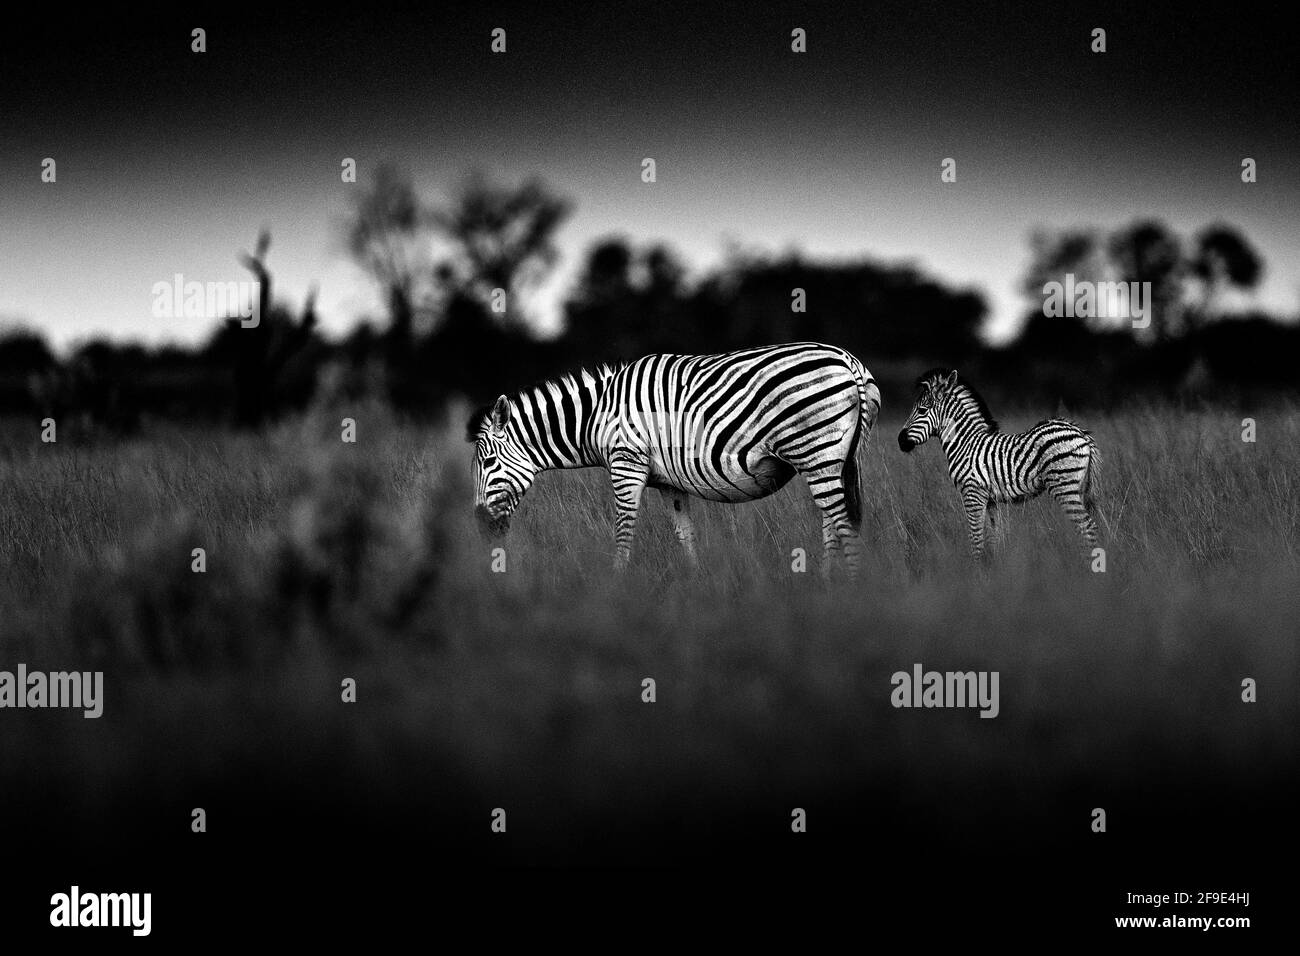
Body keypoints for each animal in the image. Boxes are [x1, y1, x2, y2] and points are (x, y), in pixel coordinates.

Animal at [467, 343, 883, 574]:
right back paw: (825, 583)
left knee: (842, 522)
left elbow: (623, 531)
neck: (597, 414)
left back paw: (846, 590)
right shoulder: (669, 483)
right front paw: (698, 587)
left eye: (487, 464)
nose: (481, 529)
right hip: (840, 459)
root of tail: (850, 362)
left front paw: (615, 586)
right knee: (832, 522)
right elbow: (685, 535)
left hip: (815, 450)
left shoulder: (627, 465)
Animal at [899, 369, 1102, 561]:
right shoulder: (990, 499)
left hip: (1063, 485)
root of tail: (1080, 433)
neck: (965, 443)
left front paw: (977, 570)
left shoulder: (972, 492)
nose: (900, 441)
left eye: (922, 410)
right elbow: (994, 537)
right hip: (1079, 486)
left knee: (1087, 526)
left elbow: (976, 539)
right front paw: (996, 570)